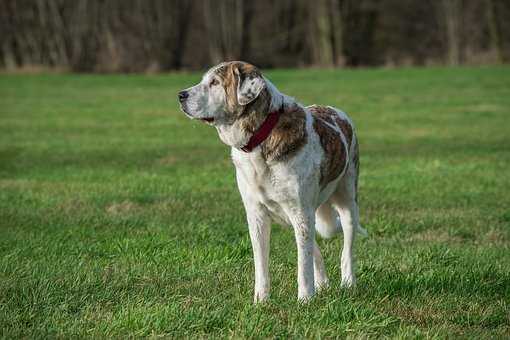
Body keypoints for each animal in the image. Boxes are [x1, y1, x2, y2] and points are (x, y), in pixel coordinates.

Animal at [179, 61, 366, 302]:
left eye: (215, 83)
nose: (180, 95)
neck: (260, 140)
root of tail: (336, 111)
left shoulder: (300, 213)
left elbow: (303, 264)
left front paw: (305, 300)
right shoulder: (257, 215)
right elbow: (261, 263)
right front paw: (261, 301)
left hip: (346, 202)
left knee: (346, 249)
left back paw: (348, 283)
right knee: (314, 248)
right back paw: (323, 283)